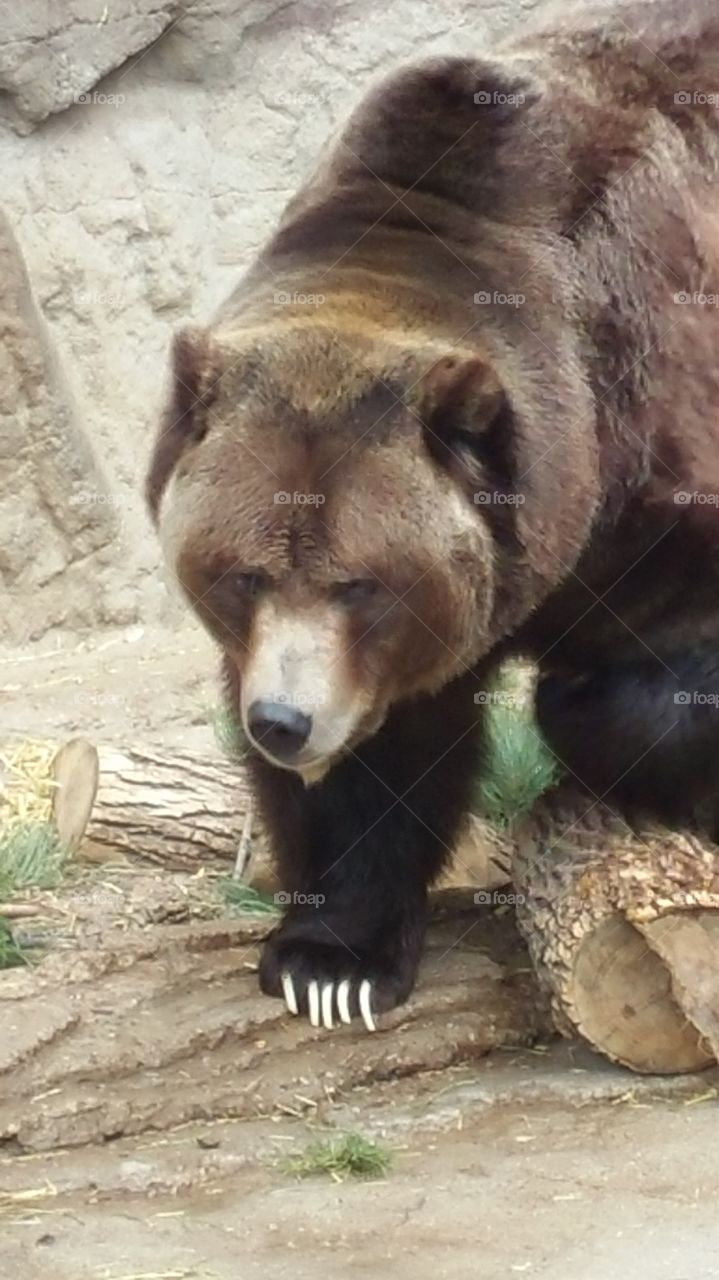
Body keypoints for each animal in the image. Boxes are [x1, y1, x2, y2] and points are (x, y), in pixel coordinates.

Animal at [147, 0, 719, 1031]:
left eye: (360, 583)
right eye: (243, 573)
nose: (281, 722)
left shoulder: (657, 463)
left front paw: (590, 712)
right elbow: (377, 761)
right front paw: (331, 961)